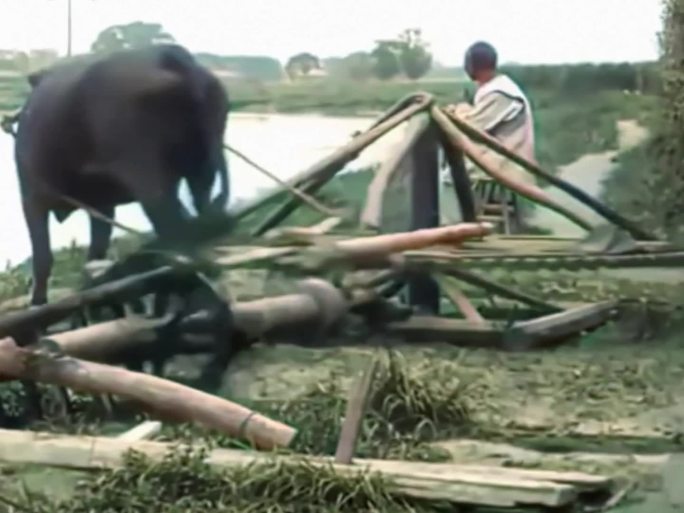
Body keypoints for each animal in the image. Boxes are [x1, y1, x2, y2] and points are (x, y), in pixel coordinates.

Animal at [14, 44, 230, 304]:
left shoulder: (32, 198)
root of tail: (169, 55)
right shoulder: (102, 205)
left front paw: (38, 303)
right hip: (202, 170)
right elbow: (95, 253)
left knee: (175, 231)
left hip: (148, 177)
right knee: (200, 220)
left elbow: (42, 257)